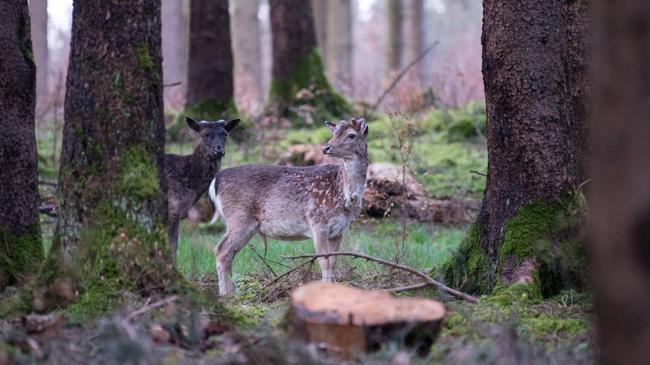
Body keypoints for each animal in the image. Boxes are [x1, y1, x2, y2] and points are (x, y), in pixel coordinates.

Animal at [209, 118, 368, 294]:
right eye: (334, 134)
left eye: (351, 135)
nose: (326, 147)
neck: (343, 196)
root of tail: (215, 181)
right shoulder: (317, 221)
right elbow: (324, 262)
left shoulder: (339, 230)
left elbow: (333, 262)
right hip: (238, 217)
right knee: (221, 250)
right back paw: (225, 294)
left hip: (247, 225)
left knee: (228, 253)